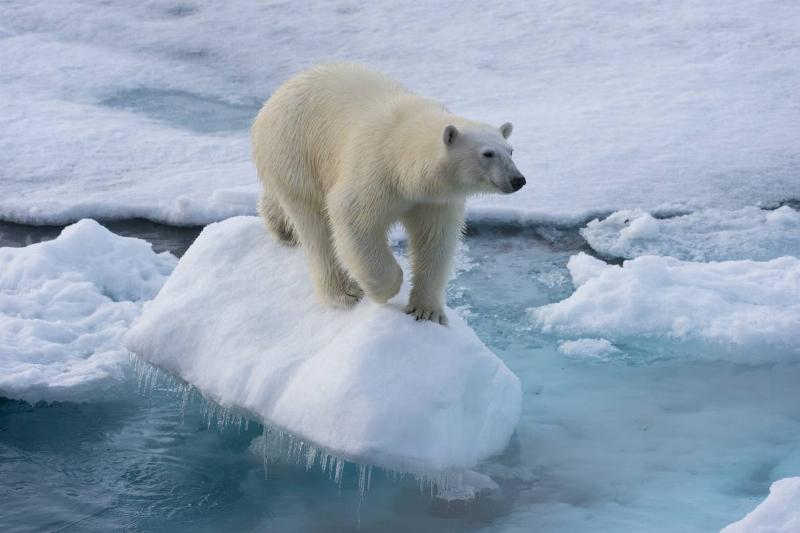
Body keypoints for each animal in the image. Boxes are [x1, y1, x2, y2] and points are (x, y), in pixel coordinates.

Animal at [251, 64, 525, 325]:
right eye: (487, 153)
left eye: (510, 151)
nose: (518, 180)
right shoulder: (374, 171)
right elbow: (352, 218)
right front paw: (385, 289)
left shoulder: (433, 200)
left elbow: (435, 240)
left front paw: (427, 310)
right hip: (295, 152)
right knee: (315, 227)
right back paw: (344, 293)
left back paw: (280, 227)